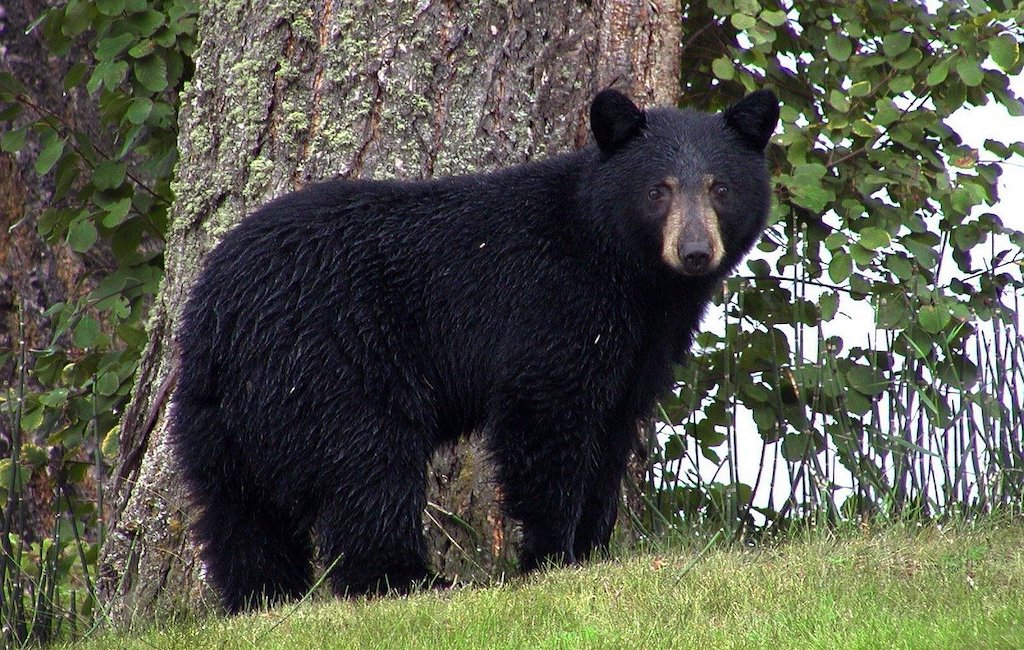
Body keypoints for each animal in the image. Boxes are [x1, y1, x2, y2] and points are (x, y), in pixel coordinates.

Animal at [169, 89, 774, 614]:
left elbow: (612, 433)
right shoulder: (554, 306)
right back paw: (410, 579)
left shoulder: (639, 348)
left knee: (239, 511)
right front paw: (551, 557)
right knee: (368, 467)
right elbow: (546, 419)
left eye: (721, 187)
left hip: (218, 413)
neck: (627, 272)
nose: (695, 251)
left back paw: (262, 597)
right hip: (331, 362)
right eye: (658, 190)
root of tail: (219, 314)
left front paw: (594, 549)